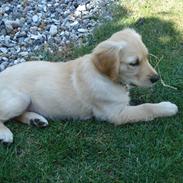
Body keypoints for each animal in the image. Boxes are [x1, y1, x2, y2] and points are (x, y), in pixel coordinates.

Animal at [0, 28, 178, 144]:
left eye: (147, 57)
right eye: (134, 63)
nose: (156, 78)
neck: (105, 77)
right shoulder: (115, 114)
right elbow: (145, 108)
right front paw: (167, 107)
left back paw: (35, 120)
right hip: (20, 98)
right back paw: (5, 134)